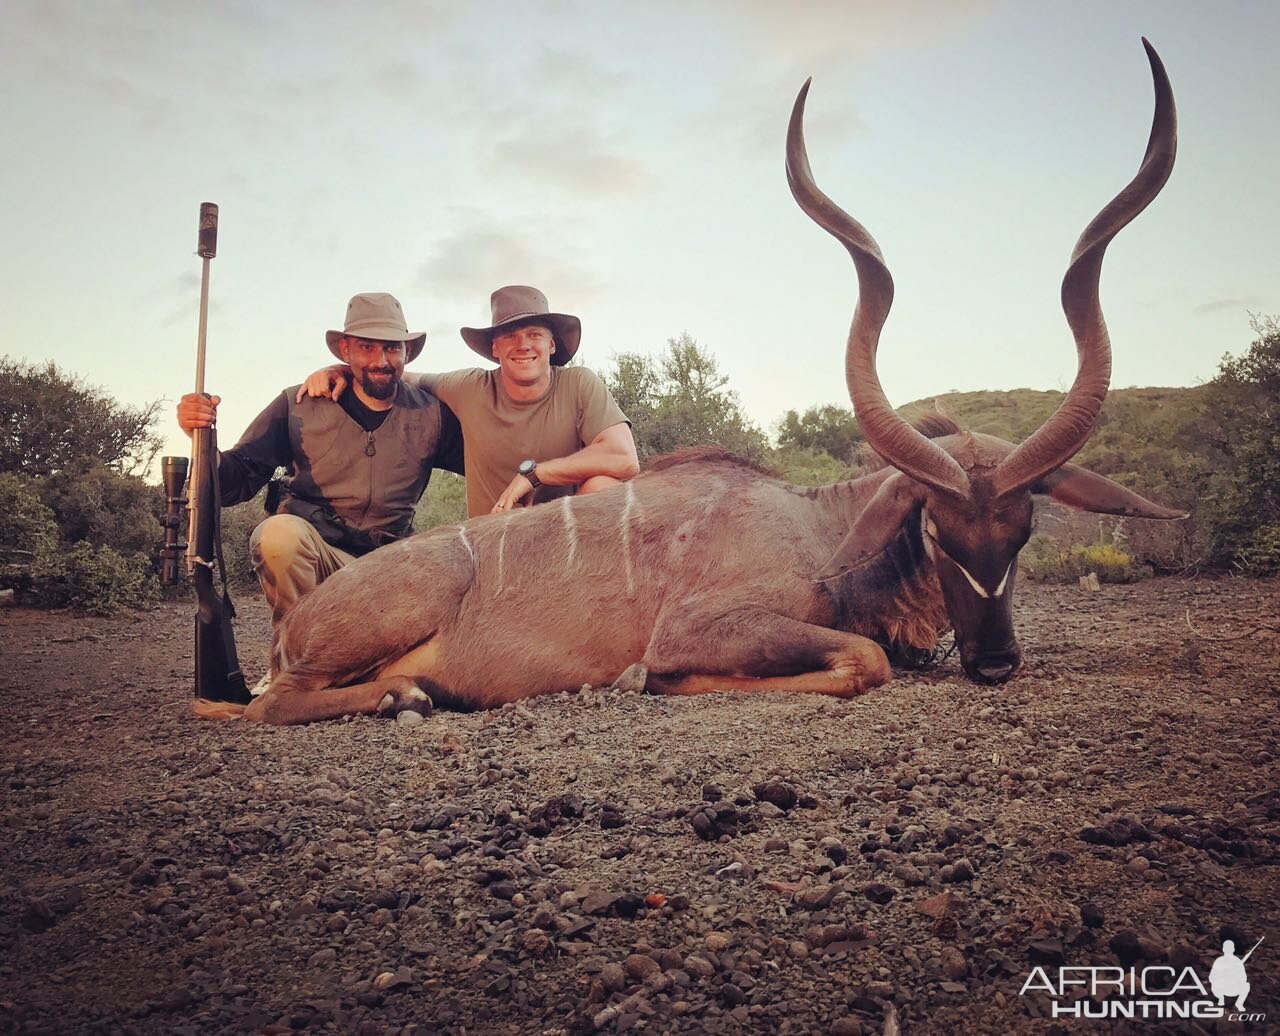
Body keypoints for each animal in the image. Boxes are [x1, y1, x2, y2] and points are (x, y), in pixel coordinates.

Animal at [217, 36, 1177, 722]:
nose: (996, 663)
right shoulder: (709, 624)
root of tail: (297, 627)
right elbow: (861, 661)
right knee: (272, 706)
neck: (822, 532)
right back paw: (401, 695)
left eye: (1025, 528)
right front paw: (646, 679)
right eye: (939, 532)